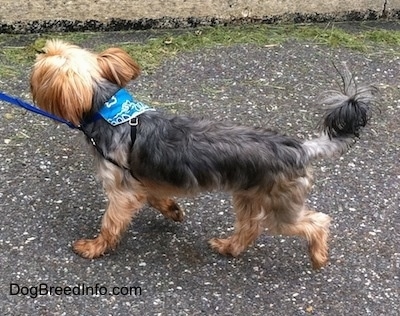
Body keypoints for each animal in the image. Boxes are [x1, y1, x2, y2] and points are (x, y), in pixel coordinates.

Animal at [30, 39, 378, 270]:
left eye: (47, 58)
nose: (38, 50)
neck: (109, 109)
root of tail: (301, 149)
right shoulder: (142, 182)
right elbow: (156, 197)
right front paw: (173, 211)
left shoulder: (120, 190)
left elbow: (110, 222)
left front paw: (94, 247)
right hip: (249, 196)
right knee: (250, 227)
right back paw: (228, 246)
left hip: (281, 205)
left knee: (316, 221)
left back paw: (318, 256)